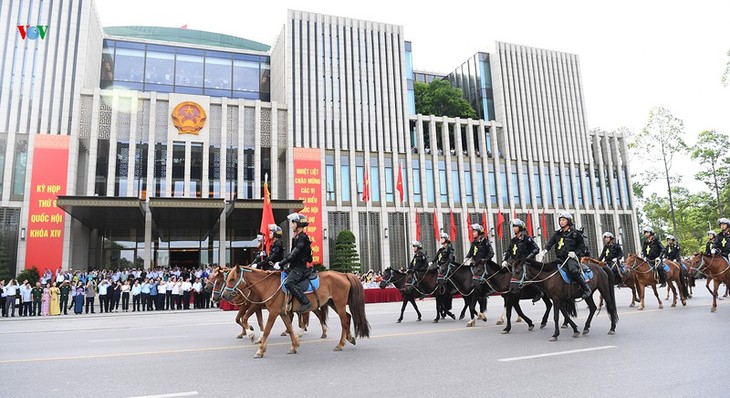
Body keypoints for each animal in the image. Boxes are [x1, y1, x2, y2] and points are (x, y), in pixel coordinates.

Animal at [220, 266, 370, 360]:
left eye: (232, 279)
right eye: (226, 279)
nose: (223, 295)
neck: (268, 284)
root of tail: (344, 274)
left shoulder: (273, 312)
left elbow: (267, 330)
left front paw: (260, 350)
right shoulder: (282, 312)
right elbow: (290, 328)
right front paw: (294, 346)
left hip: (338, 303)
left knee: (344, 320)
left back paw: (340, 344)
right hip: (332, 303)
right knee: (347, 317)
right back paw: (349, 338)